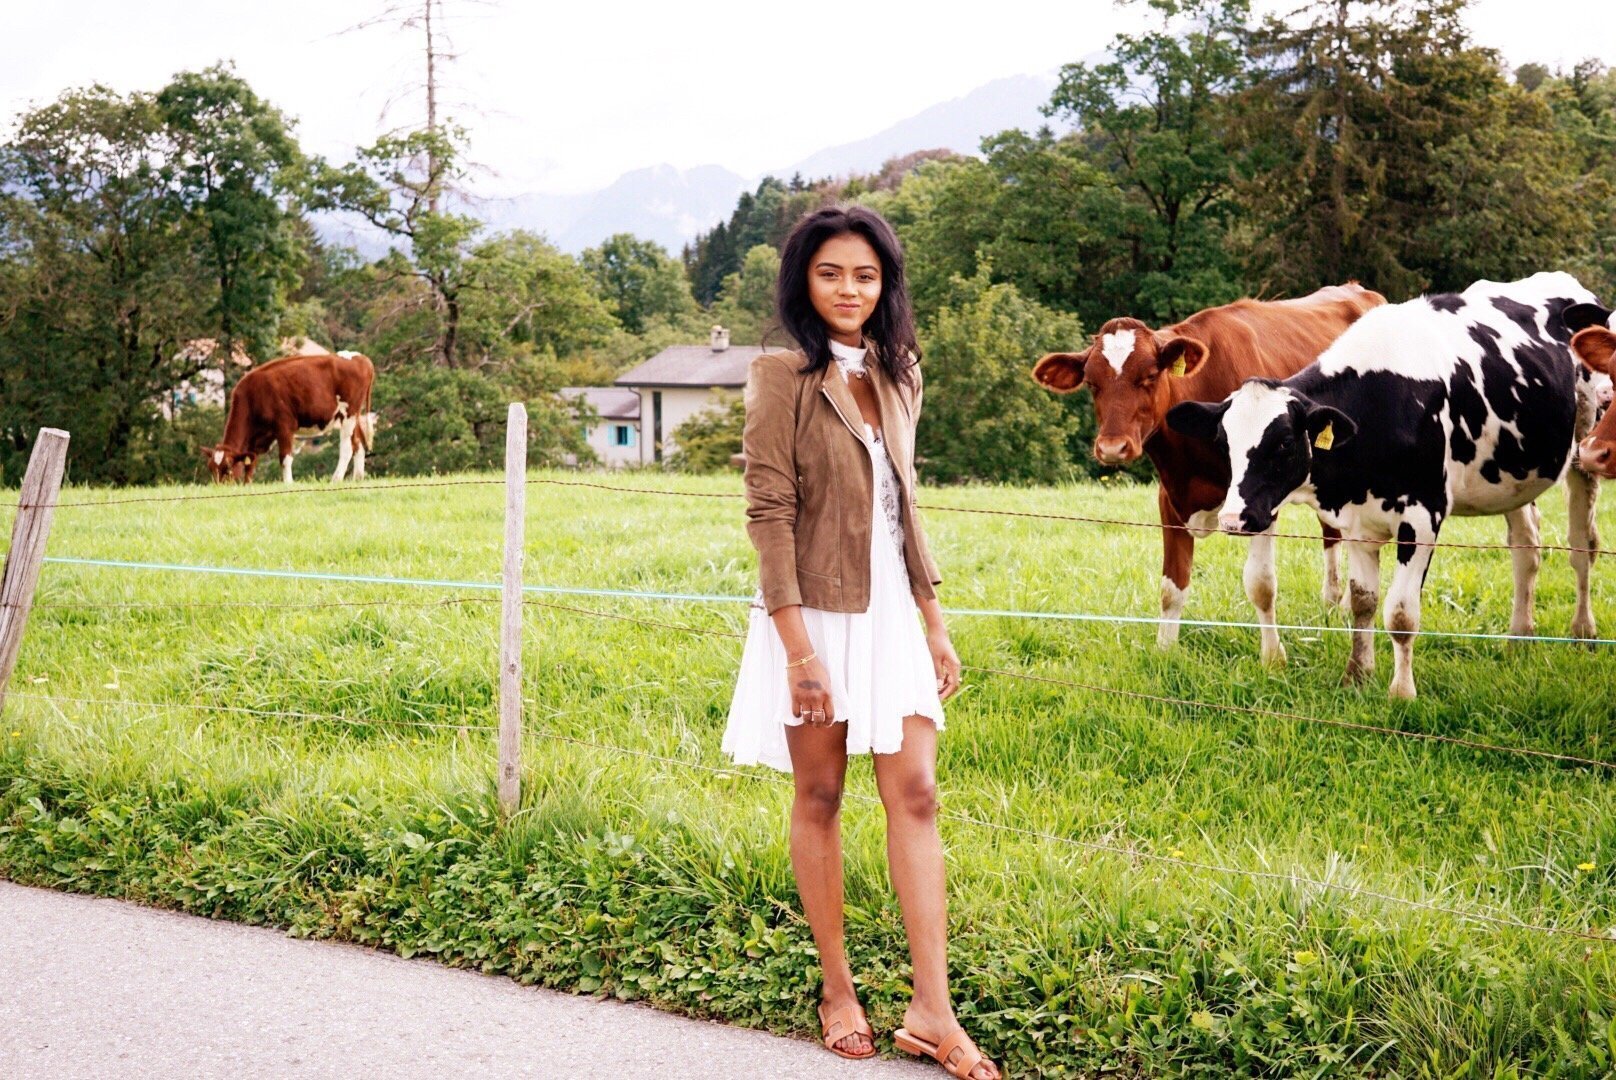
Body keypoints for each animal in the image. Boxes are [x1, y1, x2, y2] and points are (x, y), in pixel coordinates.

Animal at [202, 352, 374, 481]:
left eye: (228, 468)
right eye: (211, 468)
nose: (220, 488)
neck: (252, 396)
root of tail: (360, 358)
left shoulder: (284, 427)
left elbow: (285, 458)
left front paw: (288, 484)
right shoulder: (256, 439)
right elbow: (251, 464)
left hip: (348, 414)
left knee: (347, 448)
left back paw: (336, 479)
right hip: (353, 415)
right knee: (358, 444)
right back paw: (357, 478)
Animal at [1034, 282, 1389, 662]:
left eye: (1149, 376)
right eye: (1091, 383)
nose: (1113, 447)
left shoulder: (1260, 503)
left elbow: (1261, 584)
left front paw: (1273, 657)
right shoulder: (1170, 500)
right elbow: (1171, 587)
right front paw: (1165, 650)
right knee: (1332, 533)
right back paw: (1331, 603)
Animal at [1163, 271, 1603, 701]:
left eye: (1285, 442)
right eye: (1224, 441)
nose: (1234, 520)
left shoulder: (1424, 518)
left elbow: (1401, 614)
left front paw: (1401, 694)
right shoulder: (1357, 522)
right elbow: (1363, 602)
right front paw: (1357, 676)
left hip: (1585, 451)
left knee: (1582, 546)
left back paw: (1583, 632)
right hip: (1514, 478)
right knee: (1526, 549)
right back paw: (1518, 638)